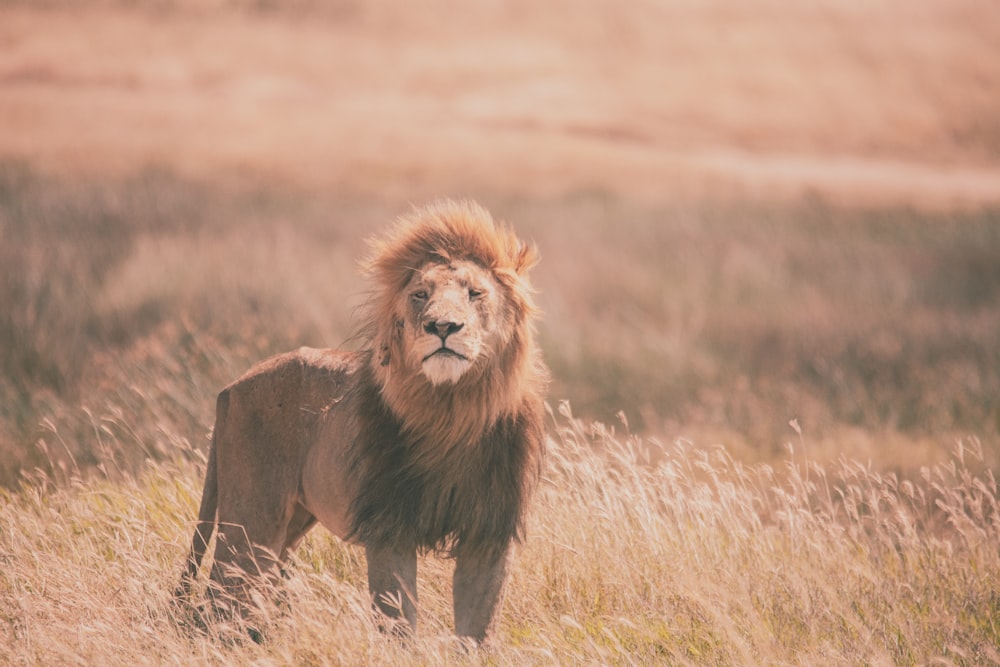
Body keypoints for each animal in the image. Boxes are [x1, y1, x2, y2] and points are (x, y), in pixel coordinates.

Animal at [180, 200, 552, 648]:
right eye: (420, 295)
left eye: (475, 293)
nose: (443, 327)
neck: (451, 412)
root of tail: (230, 386)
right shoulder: (390, 526)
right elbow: (398, 621)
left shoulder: (490, 533)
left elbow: (476, 630)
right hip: (252, 519)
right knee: (221, 595)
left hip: (290, 523)